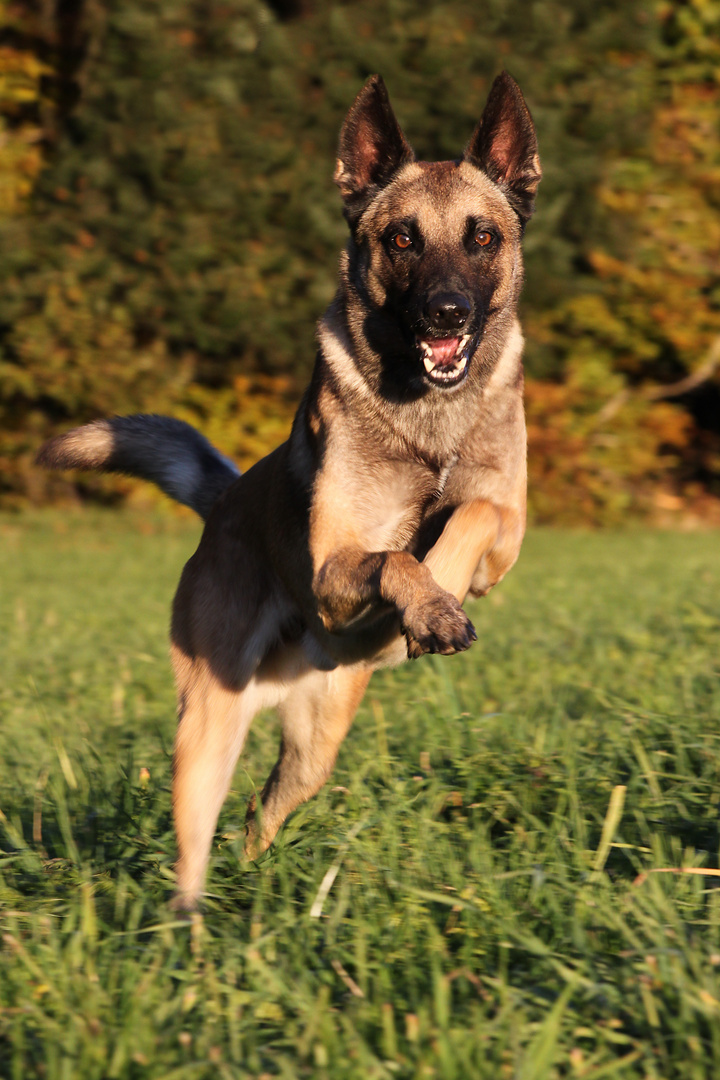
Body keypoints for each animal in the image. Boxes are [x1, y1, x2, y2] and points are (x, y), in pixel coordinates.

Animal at [35, 71, 539, 907]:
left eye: (483, 238)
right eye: (402, 239)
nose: (447, 313)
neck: (426, 420)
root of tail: (225, 500)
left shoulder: (503, 542)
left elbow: (468, 511)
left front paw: (438, 593)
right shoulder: (335, 573)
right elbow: (394, 558)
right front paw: (430, 604)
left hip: (314, 751)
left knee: (260, 813)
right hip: (206, 734)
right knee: (193, 857)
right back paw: (192, 926)